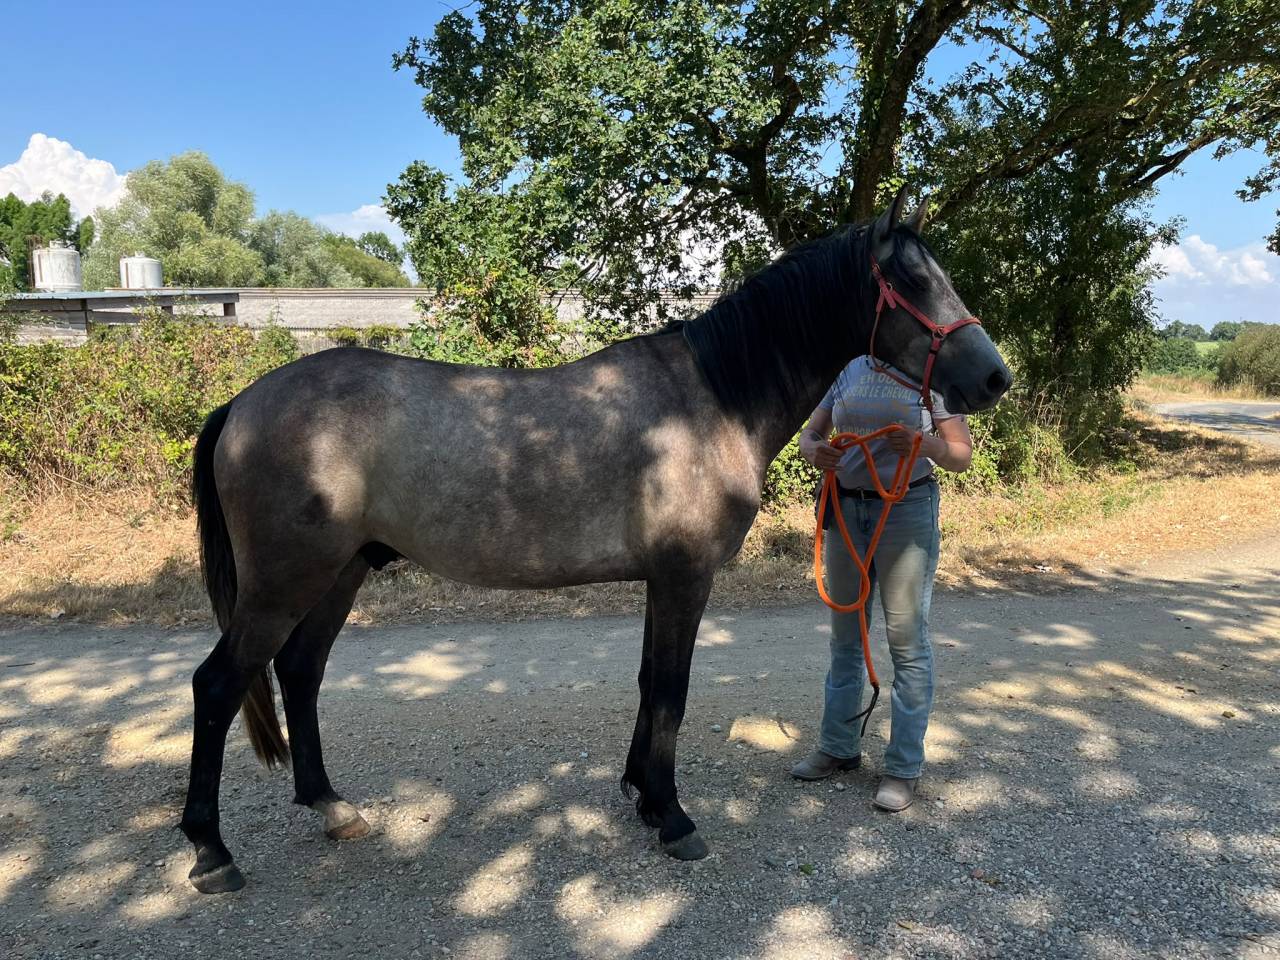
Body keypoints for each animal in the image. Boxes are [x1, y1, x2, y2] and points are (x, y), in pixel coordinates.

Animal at [179, 189, 1012, 893]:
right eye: (911, 282)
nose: (995, 378)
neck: (711, 400)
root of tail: (243, 404)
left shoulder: (661, 581)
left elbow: (649, 684)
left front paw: (642, 796)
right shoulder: (684, 578)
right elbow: (671, 691)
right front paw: (673, 818)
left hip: (340, 573)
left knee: (301, 672)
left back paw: (331, 807)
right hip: (285, 582)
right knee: (218, 686)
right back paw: (212, 853)